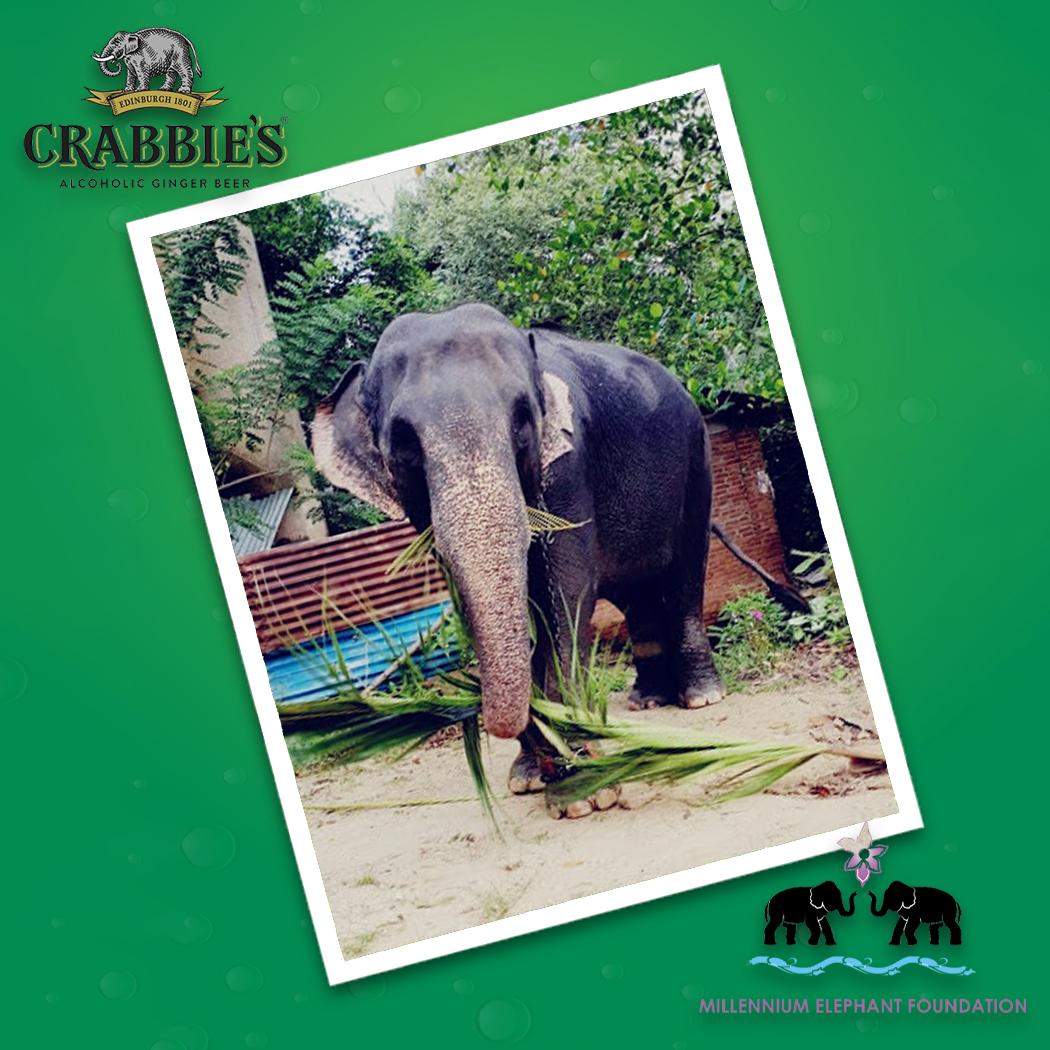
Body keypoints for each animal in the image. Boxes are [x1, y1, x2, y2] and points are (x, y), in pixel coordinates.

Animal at [313, 304, 795, 816]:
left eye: (523, 420)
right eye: (403, 443)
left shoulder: (568, 466)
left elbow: (565, 592)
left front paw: (582, 792)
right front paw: (530, 777)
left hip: (695, 461)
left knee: (684, 575)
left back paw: (701, 697)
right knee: (636, 597)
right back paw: (646, 701)